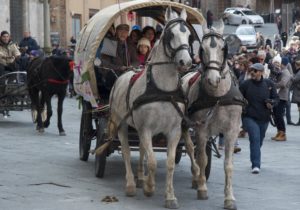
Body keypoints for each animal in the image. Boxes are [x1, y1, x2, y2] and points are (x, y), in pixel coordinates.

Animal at [108, 7, 192, 209]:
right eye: (170, 34)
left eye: (189, 35)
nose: (186, 62)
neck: (162, 90)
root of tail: (125, 73)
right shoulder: (146, 128)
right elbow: (153, 161)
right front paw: (149, 187)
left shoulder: (173, 130)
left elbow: (169, 163)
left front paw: (170, 197)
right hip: (121, 123)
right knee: (127, 151)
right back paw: (131, 184)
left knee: (141, 150)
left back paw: (140, 177)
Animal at [182, 21, 245, 210]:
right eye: (202, 49)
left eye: (223, 48)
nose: (213, 79)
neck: (218, 96)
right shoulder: (201, 129)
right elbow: (202, 159)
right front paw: (202, 188)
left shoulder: (232, 130)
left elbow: (228, 165)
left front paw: (229, 198)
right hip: (185, 125)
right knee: (191, 148)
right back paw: (196, 176)